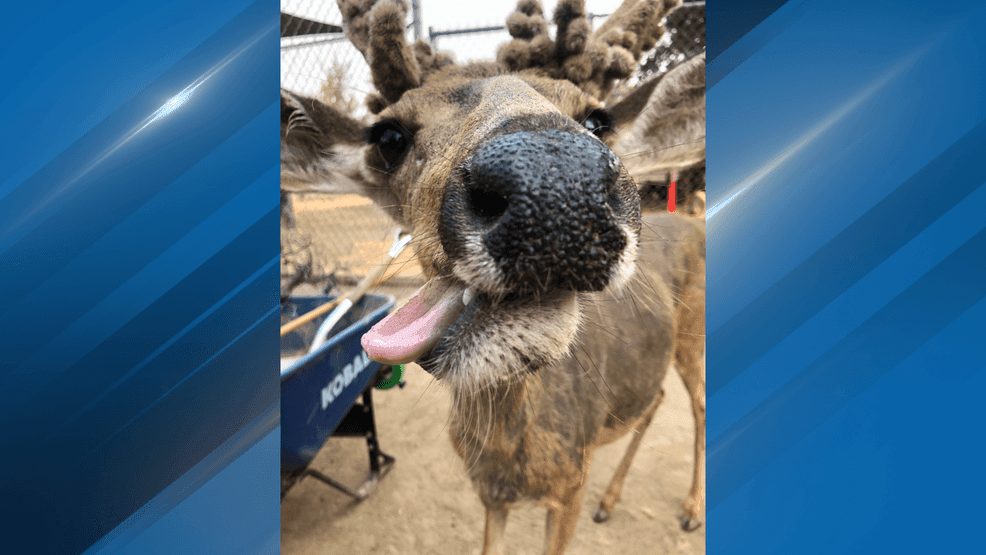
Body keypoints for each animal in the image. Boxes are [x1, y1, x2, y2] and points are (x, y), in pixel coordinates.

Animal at [280, 0, 705, 553]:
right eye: (388, 136)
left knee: (697, 402)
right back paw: (611, 503)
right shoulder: (489, 495)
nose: (554, 182)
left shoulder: (572, 481)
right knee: (655, 398)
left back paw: (690, 511)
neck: (511, 454)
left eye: (597, 118)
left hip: (694, 334)